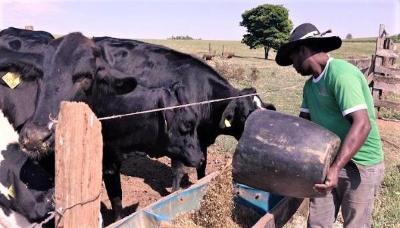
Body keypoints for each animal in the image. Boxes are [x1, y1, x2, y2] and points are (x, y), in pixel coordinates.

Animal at [18, 33, 203, 220]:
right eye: (187, 125)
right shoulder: (106, 164)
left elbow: (117, 199)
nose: (34, 137)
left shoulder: (113, 161)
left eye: (87, 76)